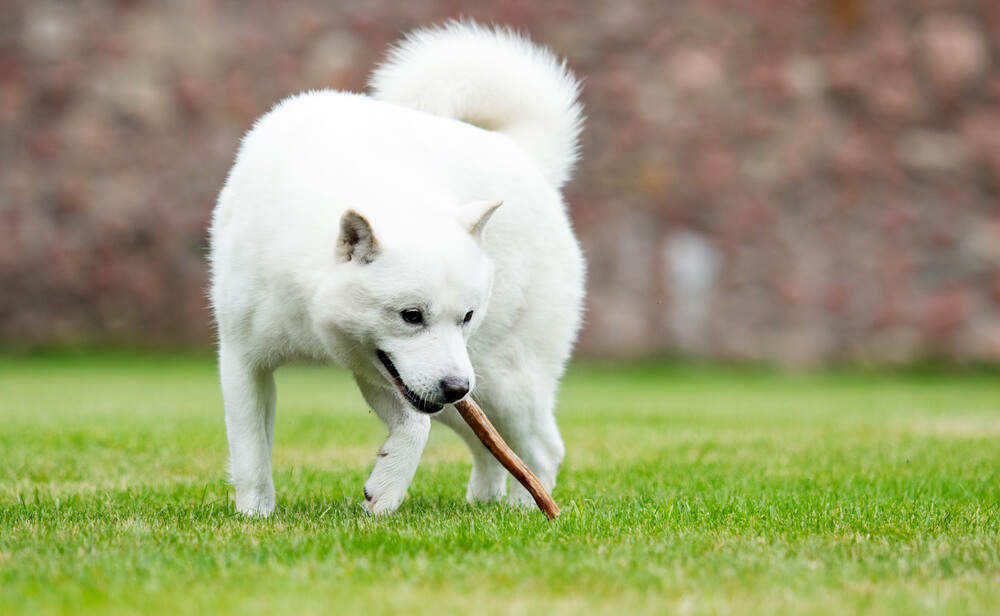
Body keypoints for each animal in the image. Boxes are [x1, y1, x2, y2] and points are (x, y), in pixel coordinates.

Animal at [211, 21, 584, 516]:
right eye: (411, 316)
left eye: (466, 316)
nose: (455, 387)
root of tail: (525, 156)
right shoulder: (247, 360)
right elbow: (252, 455)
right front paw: (255, 517)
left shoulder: (396, 376)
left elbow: (414, 428)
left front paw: (384, 492)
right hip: (469, 387)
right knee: (489, 446)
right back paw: (483, 505)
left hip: (500, 378)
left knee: (542, 447)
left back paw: (525, 511)